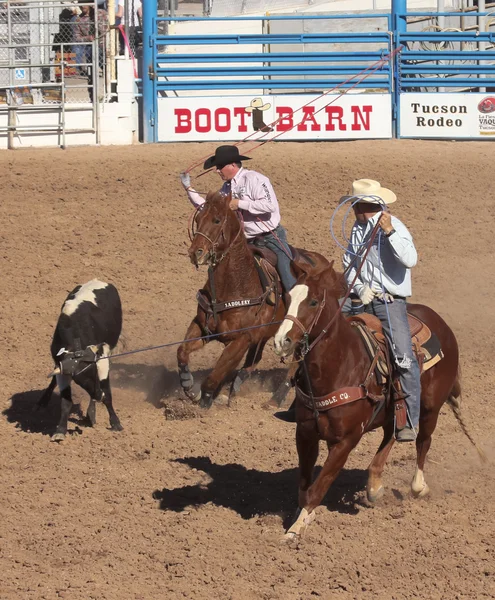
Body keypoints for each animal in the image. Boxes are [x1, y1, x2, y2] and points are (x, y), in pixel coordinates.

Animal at [38, 280, 123, 440]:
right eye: (80, 379)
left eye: (94, 372)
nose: (98, 395)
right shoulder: (62, 369)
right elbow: (65, 402)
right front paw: (60, 430)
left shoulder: (102, 359)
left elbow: (107, 393)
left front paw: (115, 423)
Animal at [176, 190, 332, 410]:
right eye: (198, 219)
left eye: (217, 220)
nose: (195, 252)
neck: (235, 285)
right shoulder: (202, 327)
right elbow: (182, 351)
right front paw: (189, 386)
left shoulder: (241, 339)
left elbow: (214, 375)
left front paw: (203, 402)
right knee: (253, 361)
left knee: (295, 363)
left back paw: (275, 398)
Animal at [274, 262, 482, 540]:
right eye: (287, 298)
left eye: (313, 302)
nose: (281, 341)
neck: (340, 365)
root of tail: (442, 325)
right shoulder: (305, 433)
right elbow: (305, 483)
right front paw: (301, 517)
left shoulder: (347, 440)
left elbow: (320, 485)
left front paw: (295, 529)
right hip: (392, 411)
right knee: (392, 433)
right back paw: (374, 486)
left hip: (431, 408)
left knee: (422, 441)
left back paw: (418, 487)